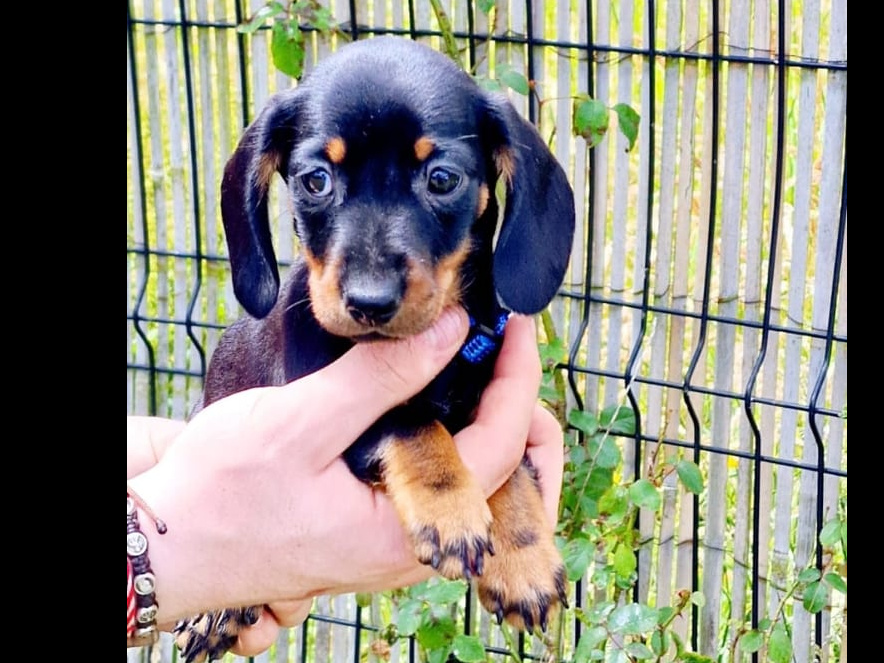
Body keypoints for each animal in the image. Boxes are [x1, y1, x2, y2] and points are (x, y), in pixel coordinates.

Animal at [178, 36, 580, 663]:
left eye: (442, 178)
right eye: (315, 180)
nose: (370, 302)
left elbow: (512, 465)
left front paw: (525, 558)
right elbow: (410, 422)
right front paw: (450, 505)